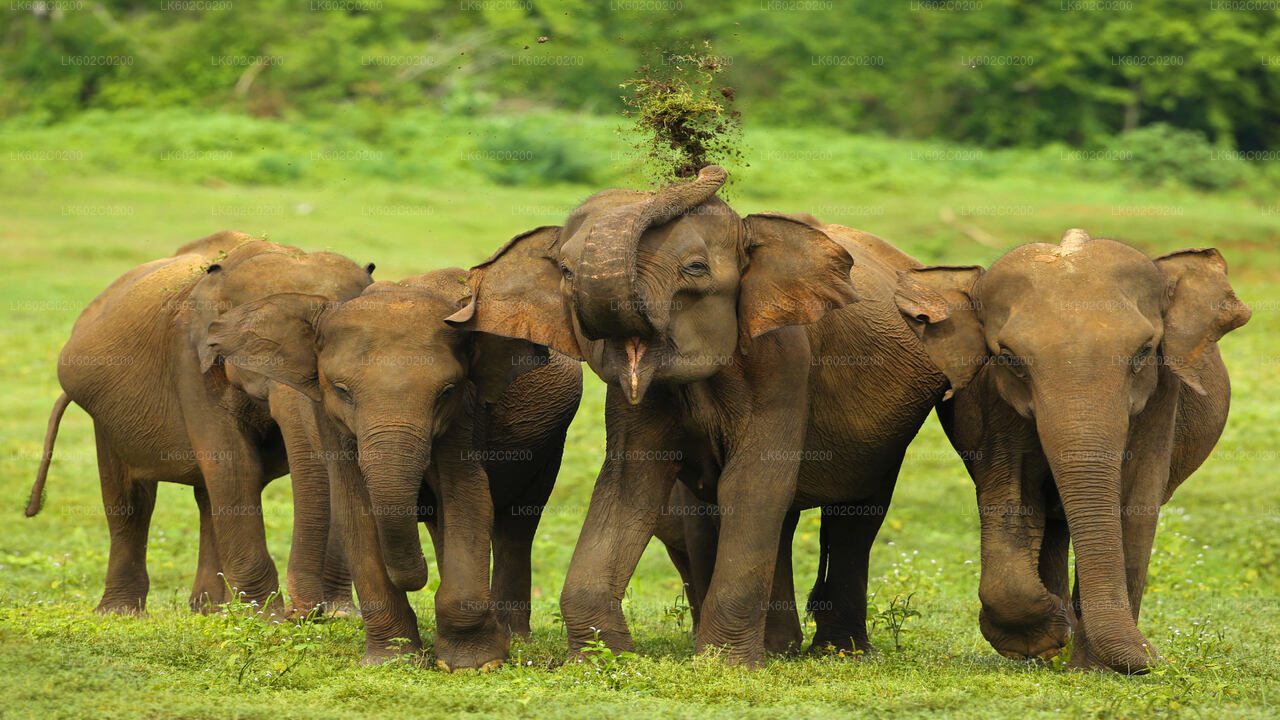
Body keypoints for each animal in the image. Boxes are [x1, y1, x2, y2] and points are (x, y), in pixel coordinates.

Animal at [27, 233, 373, 614]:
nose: (307, 614)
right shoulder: (190, 359)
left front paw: (340, 615)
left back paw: (208, 610)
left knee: (206, 499)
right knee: (130, 501)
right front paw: (268, 618)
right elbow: (234, 465)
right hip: (105, 415)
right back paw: (122, 613)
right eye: (251, 345)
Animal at [202, 269, 583, 666]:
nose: (417, 578)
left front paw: (475, 664)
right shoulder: (330, 419)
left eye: (446, 391)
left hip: (550, 442)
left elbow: (468, 497)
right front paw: (393, 660)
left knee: (517, 525)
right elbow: (356, 510)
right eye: (342, 390)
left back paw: (514, 638)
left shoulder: (466, 412)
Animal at [445, 165, 957, 666]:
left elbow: (752, 484)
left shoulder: (784, 361)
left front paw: (722, 664)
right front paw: (601, 661)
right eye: (566, 272)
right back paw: (781, 649)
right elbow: (630, 485)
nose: (702, 168)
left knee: (855, 517)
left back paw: (838, 653)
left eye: (695, 269)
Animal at [890, 226, 1249, 671]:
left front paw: (1095, 667)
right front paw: (1043, 639)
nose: (1157, 657)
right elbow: (1011, 494)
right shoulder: (993, 400)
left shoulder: (1162, 395)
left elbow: (1135, 505)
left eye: (1145, 351)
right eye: (1010, 358)